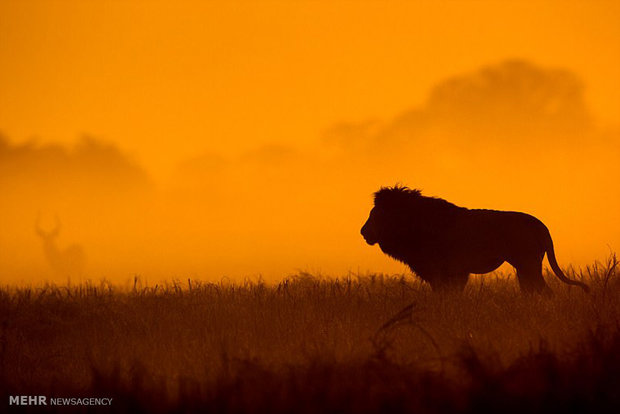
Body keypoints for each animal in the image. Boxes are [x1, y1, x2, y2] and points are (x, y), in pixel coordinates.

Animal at [360, 186, 592, 292]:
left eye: (375, 214)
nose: (363, 232)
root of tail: (541, 225)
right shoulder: (453, 273)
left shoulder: (442, 272)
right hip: (525, 267)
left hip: (528, 264)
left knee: (545, 292)